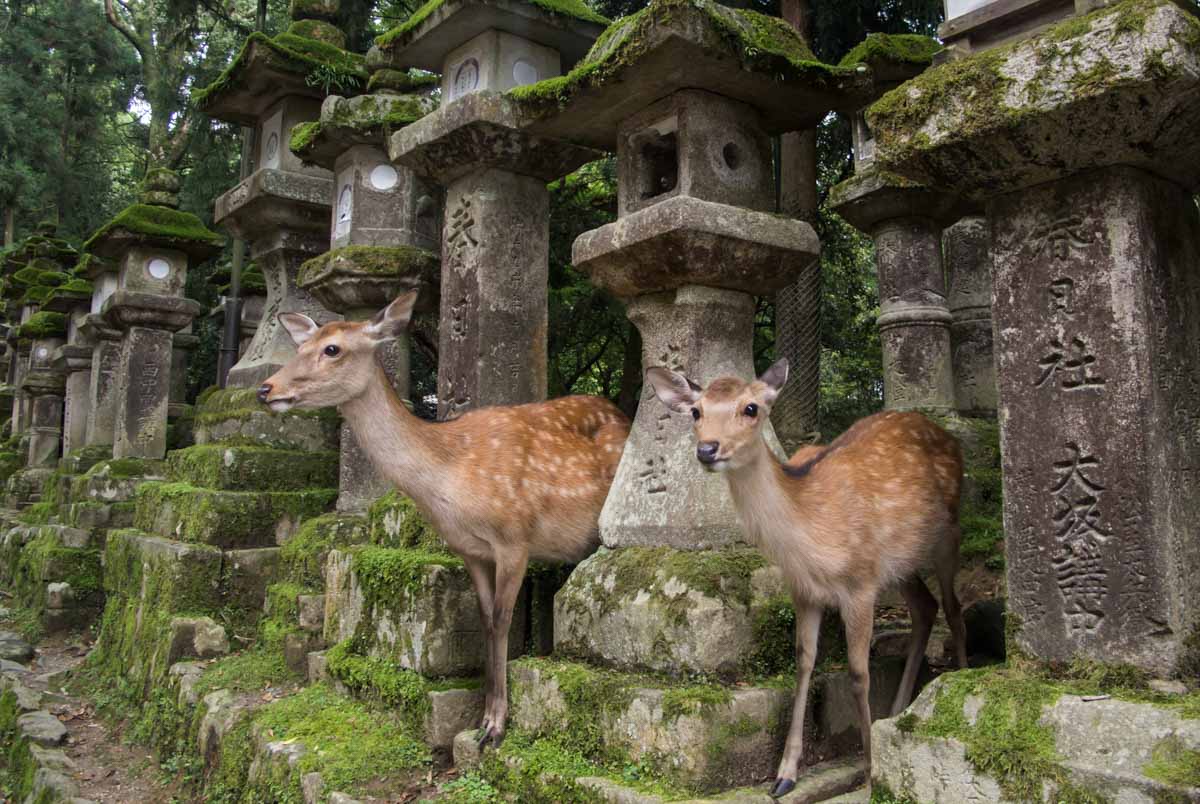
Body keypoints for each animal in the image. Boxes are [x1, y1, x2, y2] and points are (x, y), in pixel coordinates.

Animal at [258, 291, 633, 748]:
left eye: (333, 349)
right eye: (300, 347)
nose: (266, 389)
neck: (448, 482)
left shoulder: (514, 536)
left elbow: (502, 621)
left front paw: (495, 726)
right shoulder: (468, 549)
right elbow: (486, 621)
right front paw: (482, 717)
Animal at [648, 360, 964, 801]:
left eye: (751, 408)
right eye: (696, 411)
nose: (707, 449)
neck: (809, 542)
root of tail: (949, 437)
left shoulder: (861, 584)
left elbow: (858, 672)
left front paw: (870, 774)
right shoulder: (804, 591)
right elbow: (803, 664)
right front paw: (784, 775)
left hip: (946, 536)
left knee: (954, 607)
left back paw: (962, 677)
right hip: (901, 560)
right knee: (925, 606)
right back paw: (898, 710)